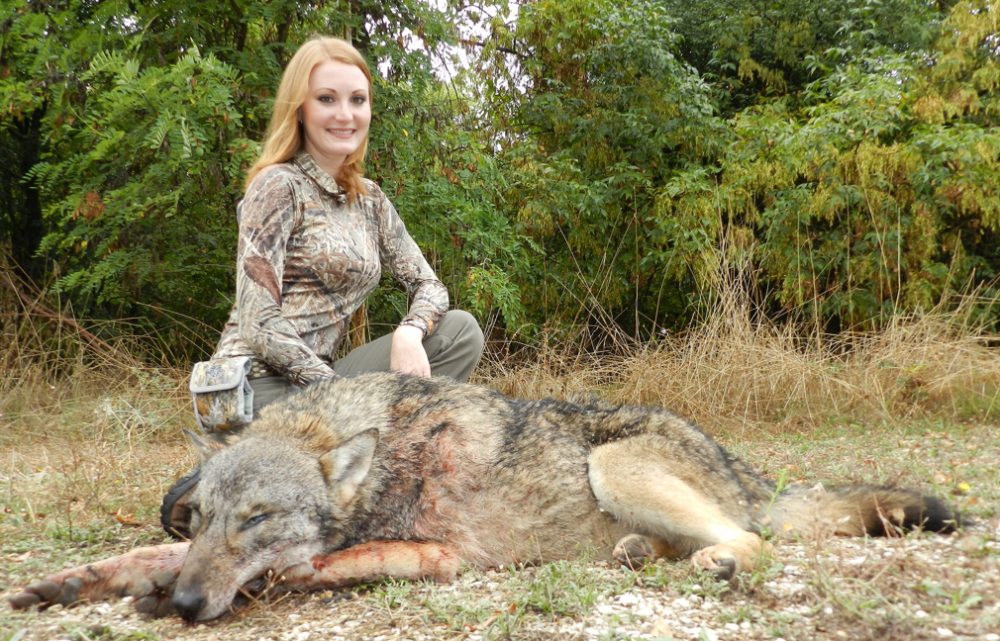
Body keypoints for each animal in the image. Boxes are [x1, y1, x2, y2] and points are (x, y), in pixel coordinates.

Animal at [8, 372, 959, 622]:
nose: (185, 607)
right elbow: (143, 553)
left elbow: (318, 562)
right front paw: (72, 582)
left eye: (258, 520)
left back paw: (719, 562)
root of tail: (748, 465)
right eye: (203, 517)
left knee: (756, 541)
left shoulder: (444, 556)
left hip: (614, 467)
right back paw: (636, 556)